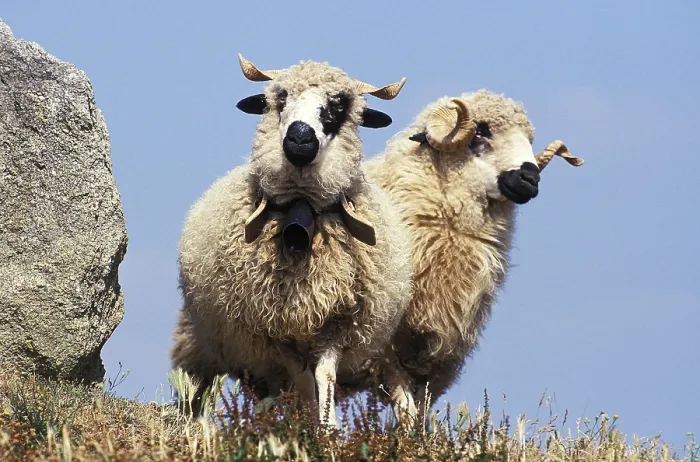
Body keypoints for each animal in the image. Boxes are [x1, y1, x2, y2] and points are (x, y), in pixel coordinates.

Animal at [169, 54, 412, 428]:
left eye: (338, 104)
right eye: (281, 97)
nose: (299, 139)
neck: (302, 212)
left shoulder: (336, 326)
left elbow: (324, 375)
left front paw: (328, 428)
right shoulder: (271, 331)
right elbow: (303, 381)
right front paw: (310, 424)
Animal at [341, 90, 584, 425]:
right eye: (481, 131)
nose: (530, 178)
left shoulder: (441, 355)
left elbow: (420, 413)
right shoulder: (385, 349)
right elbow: (405, 409)